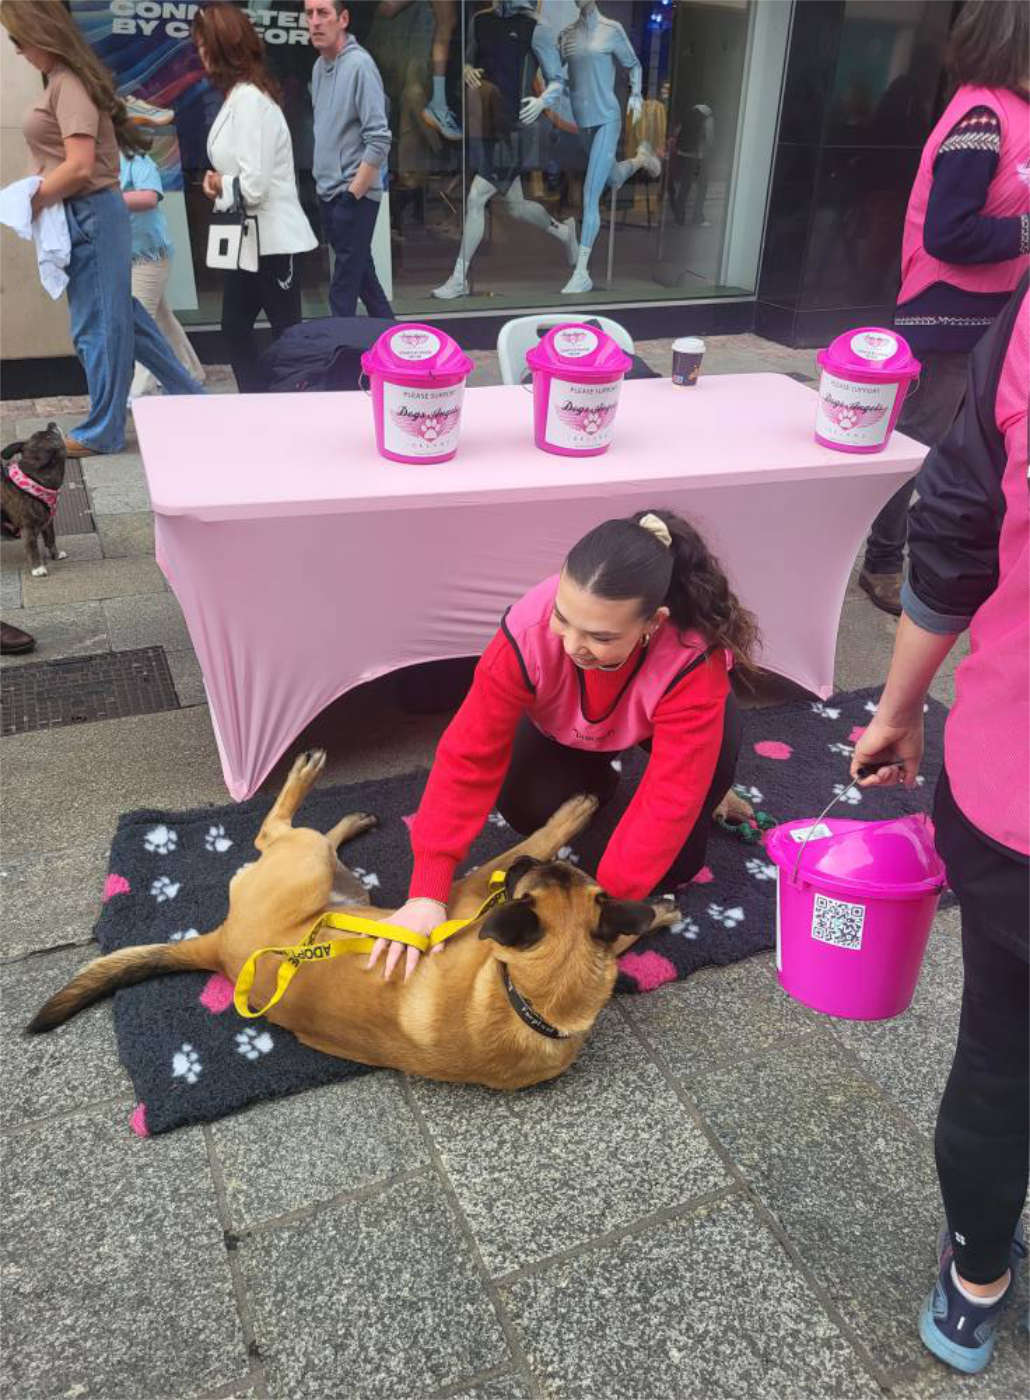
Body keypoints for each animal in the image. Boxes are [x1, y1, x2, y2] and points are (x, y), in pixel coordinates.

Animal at [1, 423, 68, 578]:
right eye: (50, 435)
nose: (51, 424)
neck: (34, 481)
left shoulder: (48, 523)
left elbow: (51, 539)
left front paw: (56, 555)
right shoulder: (28, 529)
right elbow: (32, 549)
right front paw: (38, 568)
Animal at [27, 750, 676, 1090]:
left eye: (533, 879)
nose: (520, 870)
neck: (531, 1004)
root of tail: (220, 945)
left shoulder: (471, 899)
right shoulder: (462, 896)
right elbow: (538, 849)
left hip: (312, 870)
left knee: (277, 834)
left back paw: (321, 789)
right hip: (326, 878)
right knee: (283, 834)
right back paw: (330, 796)